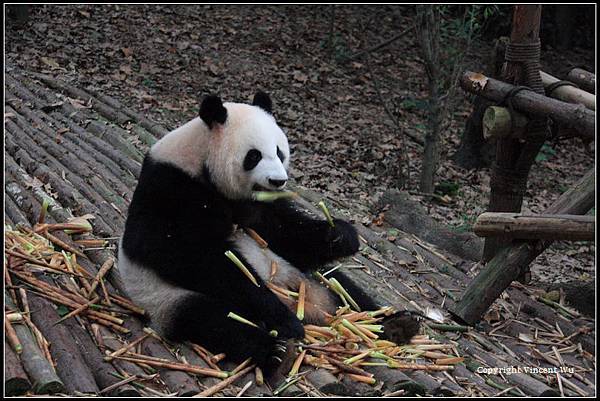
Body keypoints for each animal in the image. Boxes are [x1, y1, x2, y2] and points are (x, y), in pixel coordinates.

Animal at [117, 91, 418, 378]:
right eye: (254, 156)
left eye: (279, 152)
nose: (278, 181)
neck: (200, 159)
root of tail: (310, 308)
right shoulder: (170, 188)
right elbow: (185, 252)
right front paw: (280, 319)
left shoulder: (258, 206)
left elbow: (285, 232)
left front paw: (340, 235)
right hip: (167, 299)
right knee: (213, 319)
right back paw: (278, 350)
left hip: (304, 275)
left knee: (342, 286)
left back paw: (396, 323)